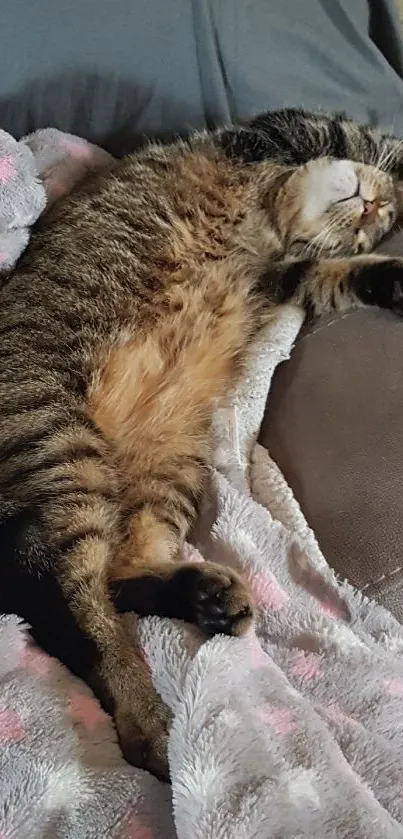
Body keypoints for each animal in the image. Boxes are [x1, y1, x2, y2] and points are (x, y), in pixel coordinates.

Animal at [0, 110, 403, 780]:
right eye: (378, 217)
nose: (376, 208)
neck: (268, 216)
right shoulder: (270, 135)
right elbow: (338, 137)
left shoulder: (286, 282)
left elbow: (331, 277)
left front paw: (390, 275)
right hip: (57, 449)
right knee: (69, 609)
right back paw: (150, 726)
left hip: (171, 466)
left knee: (114, 580)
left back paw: (205, 599)